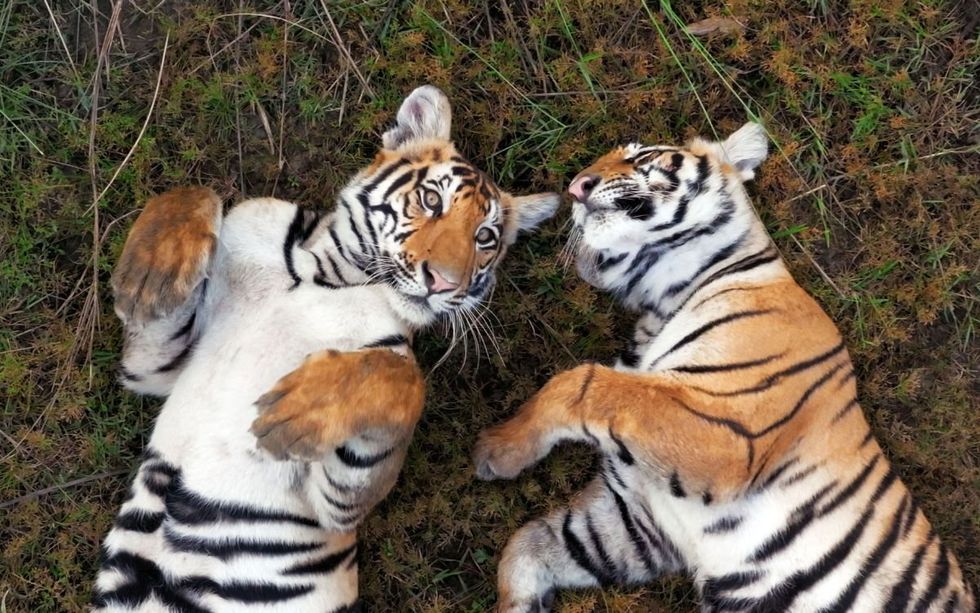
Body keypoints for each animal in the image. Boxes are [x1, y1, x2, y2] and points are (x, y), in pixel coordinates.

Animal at [93, 85, 559, 613]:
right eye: (431, 199)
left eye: (485, 238)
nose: (444, 282)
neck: (331, 278)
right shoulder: (156, 369)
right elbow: (199, 192)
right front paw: (150, 277)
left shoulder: (337, 507)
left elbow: (400, 377)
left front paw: (297, 410)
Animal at [473, 122, 976, 612]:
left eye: (641, 154)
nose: (576, 187)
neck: (660, 298)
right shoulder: (638, 519)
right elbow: (529, 544)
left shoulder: (730, 433)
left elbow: (584, 383)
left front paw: (499, 448)